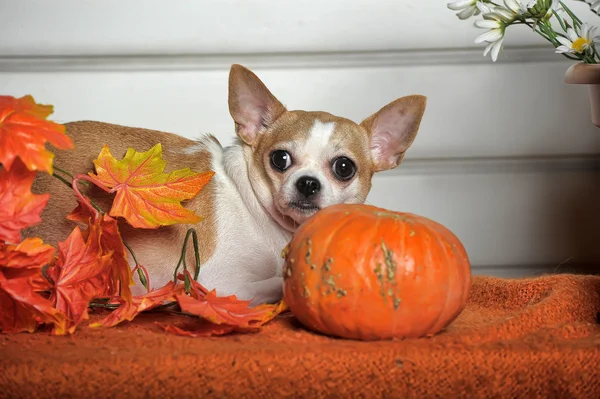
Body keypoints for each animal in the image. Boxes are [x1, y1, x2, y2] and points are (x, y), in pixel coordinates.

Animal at [28, 64, 428, 304]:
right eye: (280, 159)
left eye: (344, 167)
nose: (308, 184)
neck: (263, 219)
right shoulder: (220, 282)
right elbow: (275, 286)